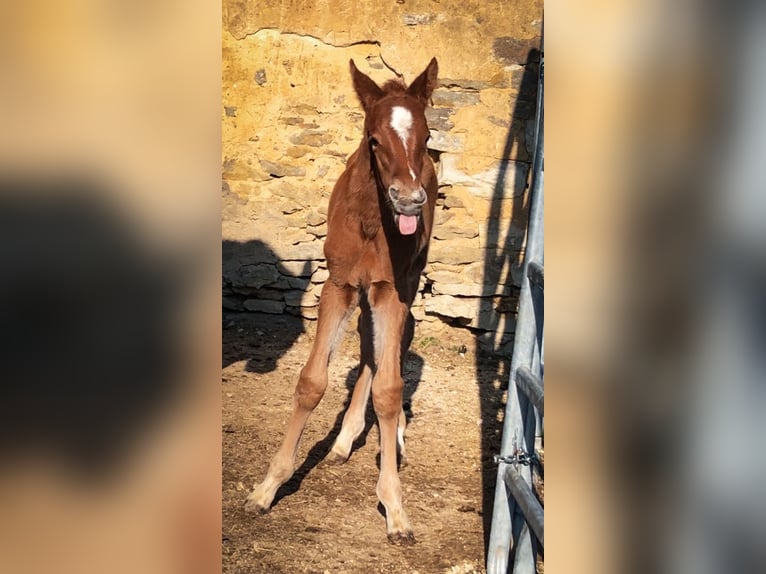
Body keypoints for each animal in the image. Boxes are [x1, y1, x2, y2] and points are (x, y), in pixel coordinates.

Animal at [246, 57, 438, 544]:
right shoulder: (338, 286)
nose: (410, 202)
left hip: (403, 286)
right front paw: (267, 488)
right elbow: (311, 382)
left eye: (428, 138)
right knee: (370, 350)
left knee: (390, 354)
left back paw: (388, 437)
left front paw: (395, 507)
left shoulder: (392, 289)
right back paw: (344, 439)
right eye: (374, 139)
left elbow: (390, 389)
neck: (372, 220)